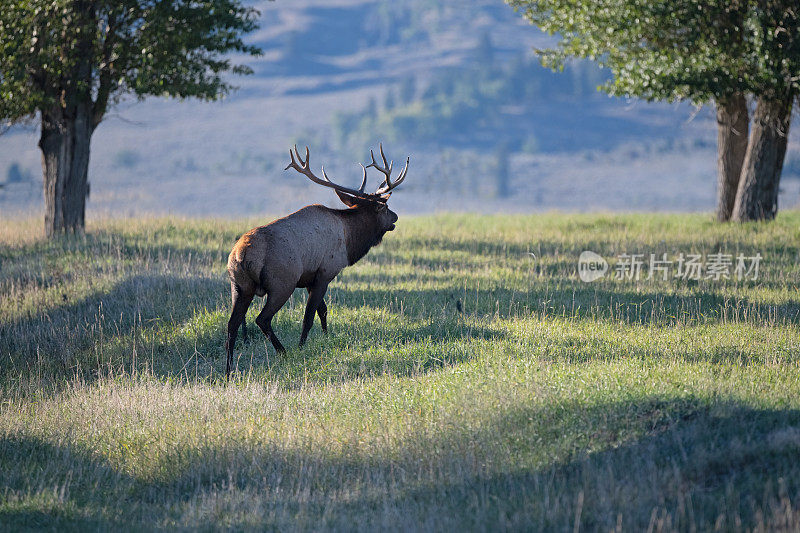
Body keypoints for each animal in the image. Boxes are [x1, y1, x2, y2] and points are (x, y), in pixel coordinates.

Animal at [227, 143, 410, 376]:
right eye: (385, 207)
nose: (395, 217)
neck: (349, 238)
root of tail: (241, 255)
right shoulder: (325, 272)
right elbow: (309, 315)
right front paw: (302, 346)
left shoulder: (309, 279)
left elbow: (322, 310)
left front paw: (326, 337)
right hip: (282, 283)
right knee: (262, 319)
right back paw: (283, 352)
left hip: (239, 286)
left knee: (232, 324)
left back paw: (228, 370)